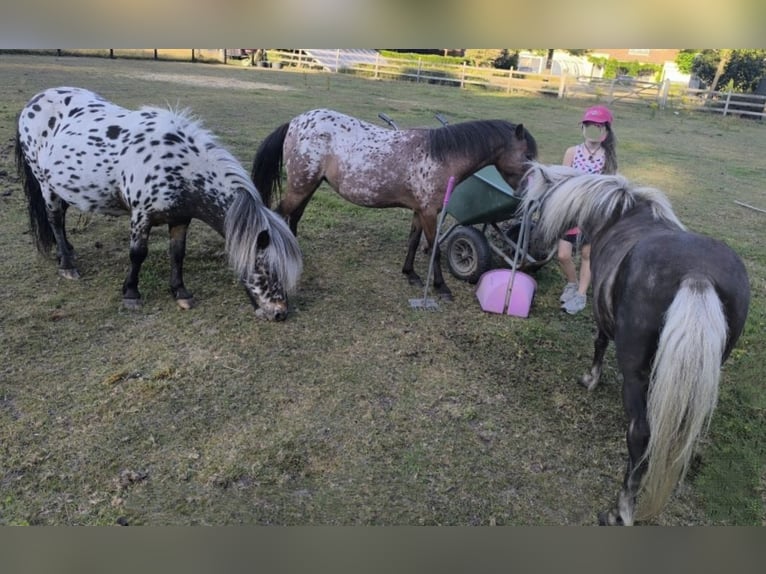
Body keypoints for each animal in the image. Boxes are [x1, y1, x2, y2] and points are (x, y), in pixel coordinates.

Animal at [16, 87, 302, 321]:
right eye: (265, 269)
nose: (279, 313)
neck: (178, 167)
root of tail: (34, 101)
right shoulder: (141, 215)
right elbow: (138, 253)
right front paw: (131, 294)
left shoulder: (180, 218)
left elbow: (177, 253)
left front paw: (180, 292)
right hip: (45, 184)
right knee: (54, 219)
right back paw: (67, 265)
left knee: (61, 217)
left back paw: (66, 251)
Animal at [251, 108, 537, 300]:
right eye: (527, 155)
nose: (529, 195)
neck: (440, 156)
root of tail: (295, 122)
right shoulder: (430, 213)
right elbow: (434, 248)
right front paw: (441, 287)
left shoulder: (419, 211)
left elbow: (413, 241)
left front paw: (410, 273)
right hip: (301, 187)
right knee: (279, 217)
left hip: (307, 187)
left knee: (294, 218)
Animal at [517, 162, 750, 525]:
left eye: (534, 203)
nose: (538, 249)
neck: (619, 213)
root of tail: (697, 274)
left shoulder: (601, 316)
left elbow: (599, 343)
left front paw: (591, 379)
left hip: (635, 372)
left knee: (640, 433)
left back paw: (622, 509)